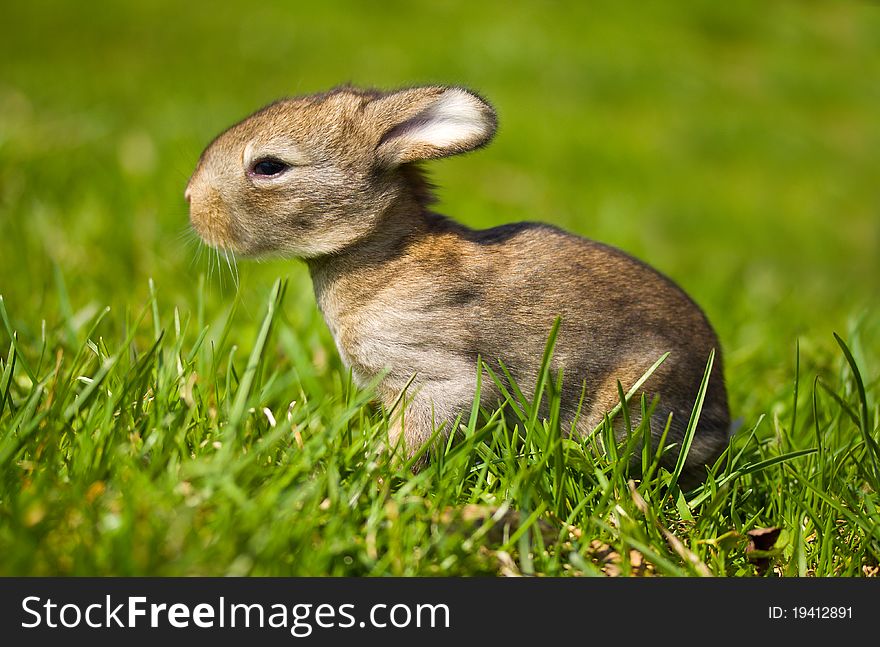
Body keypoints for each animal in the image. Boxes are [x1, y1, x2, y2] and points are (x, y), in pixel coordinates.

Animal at [189, 83, 732, 484]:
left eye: (269, 166)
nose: (191, 200)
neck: (383, 252)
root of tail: (718, 417)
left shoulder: (434, 372)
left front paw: (377, 469)